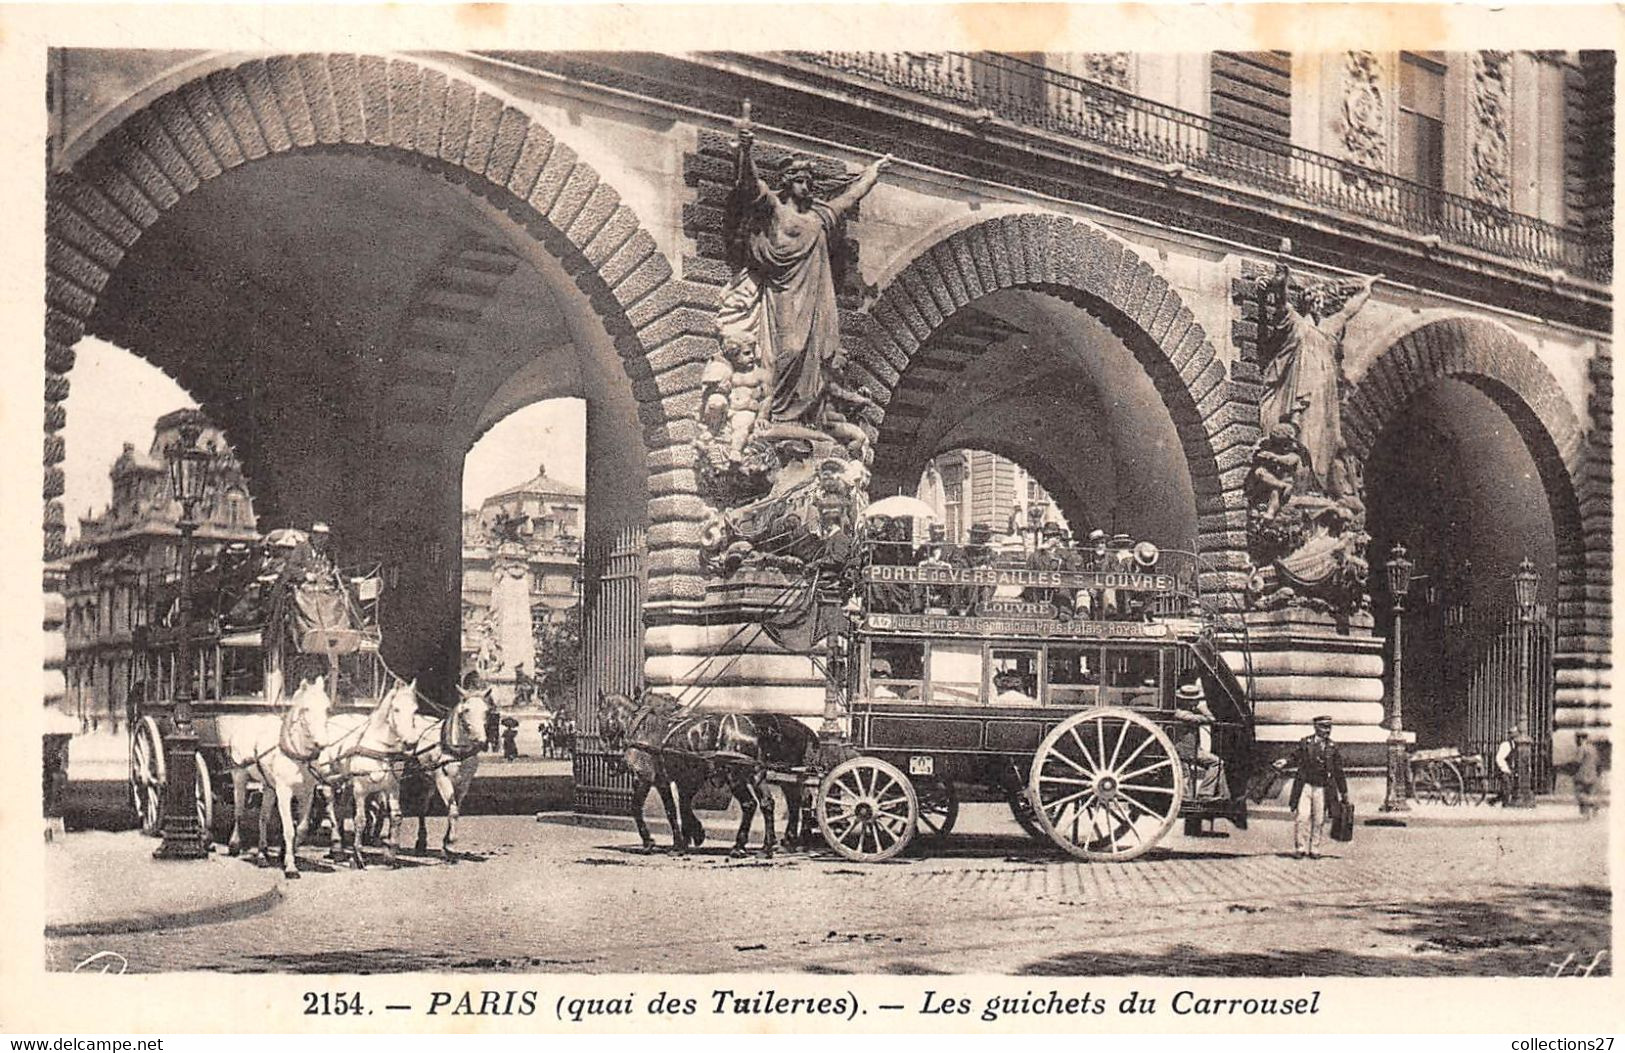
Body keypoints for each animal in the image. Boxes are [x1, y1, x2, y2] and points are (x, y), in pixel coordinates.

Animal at [225, 676, 329, 877]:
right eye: (306, 708)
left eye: (327, 708)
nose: (322, 743)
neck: (298, 755)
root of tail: (246, 720)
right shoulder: (284, 792)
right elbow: (288, 829)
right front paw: (290, 866)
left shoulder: (307, 793)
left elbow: (302, 828)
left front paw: (286, 854)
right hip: (239, 776)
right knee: (239, 812)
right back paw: (234, 844)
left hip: (268, 786)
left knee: (263, 817)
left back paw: (262, 854)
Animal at [598, 692, 819, 858]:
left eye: (600, 715)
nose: (607, 756)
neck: (643, 729)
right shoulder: (681, 780)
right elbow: (681, 807)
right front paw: (690, 836)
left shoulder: (647, 778)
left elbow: (650, 809)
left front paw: (657, 842)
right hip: (758, 774)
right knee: (771, 803)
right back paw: (771, 846)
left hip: (736, 776)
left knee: (753, 804)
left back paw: (743, 846)